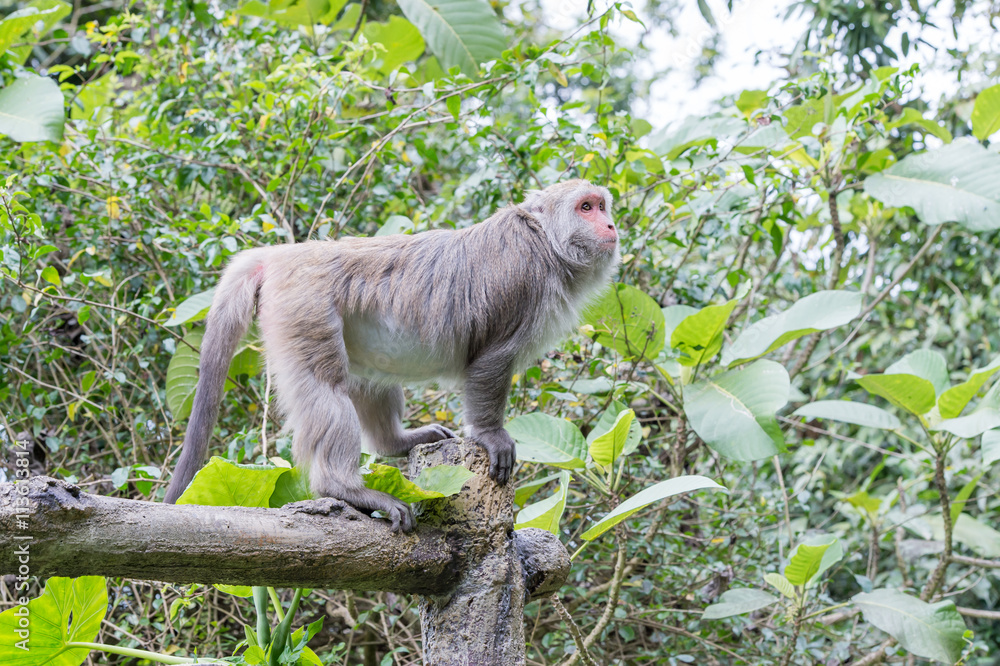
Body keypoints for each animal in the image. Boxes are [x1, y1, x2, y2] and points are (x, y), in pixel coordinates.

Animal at [164, 179, 616, 532]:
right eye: (586, 207)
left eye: (603, 205)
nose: (611, 225)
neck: (545, 242)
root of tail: (282, 254)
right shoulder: (524, 280)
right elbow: (492, 359)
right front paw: (490, 434)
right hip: (304, 306)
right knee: (326, 384)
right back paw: (345, 489)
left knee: (367, 376)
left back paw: (395, 443)